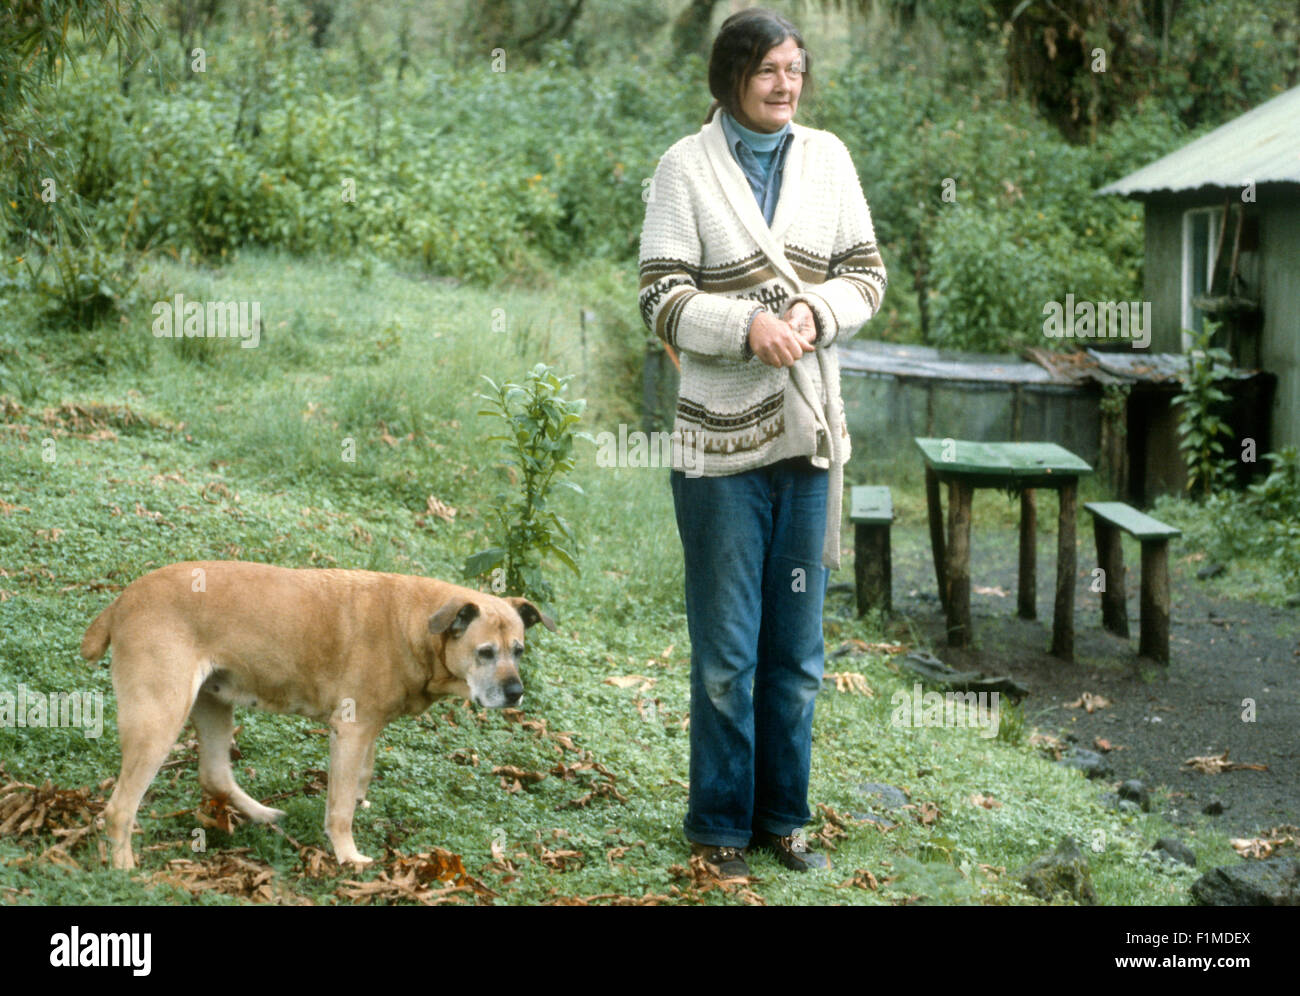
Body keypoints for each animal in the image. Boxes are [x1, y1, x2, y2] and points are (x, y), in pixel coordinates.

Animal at [78, 566, 551, 868]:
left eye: (519, 651)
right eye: (485, 652)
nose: (516, 693)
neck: (416, 623)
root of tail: (123, 600)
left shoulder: (367, 732)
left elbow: (359, 780)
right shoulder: (352, 730)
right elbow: (339, 808)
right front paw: (347, 855)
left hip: (213, 704)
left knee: (214, 775)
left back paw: (263, 815)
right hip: (159, 719)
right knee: (119, 810)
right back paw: (125, 872)